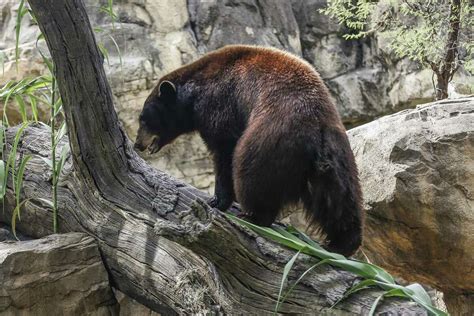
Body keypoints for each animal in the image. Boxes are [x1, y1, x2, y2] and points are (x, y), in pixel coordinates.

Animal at [135, 45, 364, 256]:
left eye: (143, 119)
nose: (138, 144)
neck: (195, 92)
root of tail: (316, 129)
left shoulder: (219, 104)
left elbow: (224, 150)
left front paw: (216, 201)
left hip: (268, 142)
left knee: (251, 175)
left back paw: (253, 216)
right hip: (337, 156)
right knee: (339, 200)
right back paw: (341, 244)